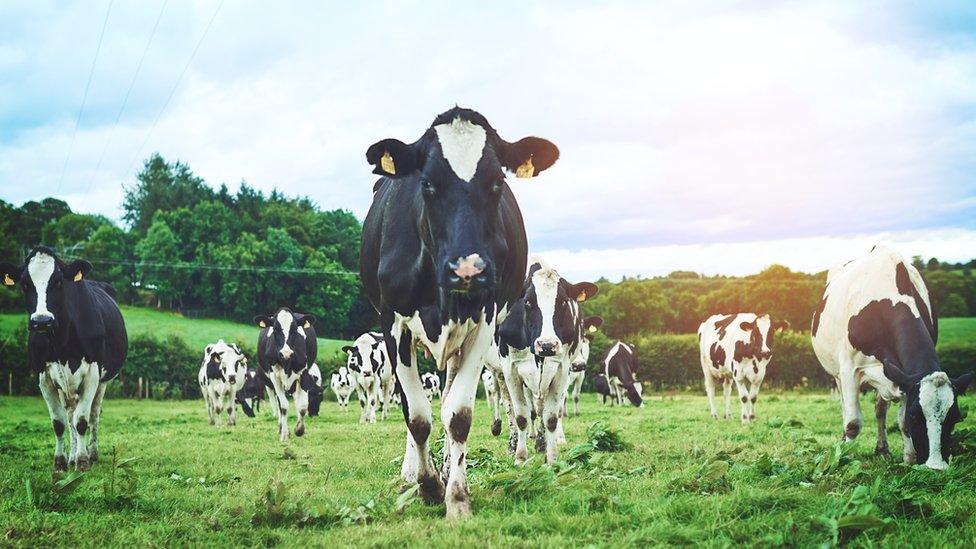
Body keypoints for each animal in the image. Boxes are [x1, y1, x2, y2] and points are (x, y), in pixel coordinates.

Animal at [0, 248, 127, 470]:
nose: (42, 321)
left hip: (104, 381)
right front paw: (61, 461)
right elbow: (59, 423)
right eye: (25, 284)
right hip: (65, 386)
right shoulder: (43, 375)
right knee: (69, 415)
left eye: (59, 282)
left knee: (93, 414)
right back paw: (72, 456)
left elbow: (82, 421)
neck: (62, 342)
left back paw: (91, 453)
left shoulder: (92, 373)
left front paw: (83, 461)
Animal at [252, 308, 316, 440]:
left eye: (295, 329)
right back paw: (281, 428)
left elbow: (303, 406)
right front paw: (285, 434)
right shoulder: (274, 376)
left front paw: (299, 429)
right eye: (275, 329)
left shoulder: (304, 373)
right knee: (279, 403)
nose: (286, 353)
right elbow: (284, 406)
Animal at [360, 107, 560, 520]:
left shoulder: (484, 320)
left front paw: (456, 495)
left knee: (449, 398)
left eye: (498, 181)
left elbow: (458, 415)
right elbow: (416, 416)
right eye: (427, 184)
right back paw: (411, 472)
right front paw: (427, 485)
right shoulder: (393, 323)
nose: (468, 269)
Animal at [500, 260, 600, 462]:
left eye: (563, 301)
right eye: (528, 302)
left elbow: (552, 417)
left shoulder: (562, 369)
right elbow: (521, 416)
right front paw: (520, 458)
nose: (547, 345)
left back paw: (543, 442)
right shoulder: (510, 369)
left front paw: (552, 459)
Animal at [808, 246, 976, 468]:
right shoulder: (849, 369)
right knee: (845, 408)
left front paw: (909, 459)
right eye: (916, 416)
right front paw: (844, 458)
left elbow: (901, 422)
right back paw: (844, 443)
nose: (936, 466)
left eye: (955, 417)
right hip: (836, 373)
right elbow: (852, 423)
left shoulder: (904, 376)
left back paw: (883, 450)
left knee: (880, 409)